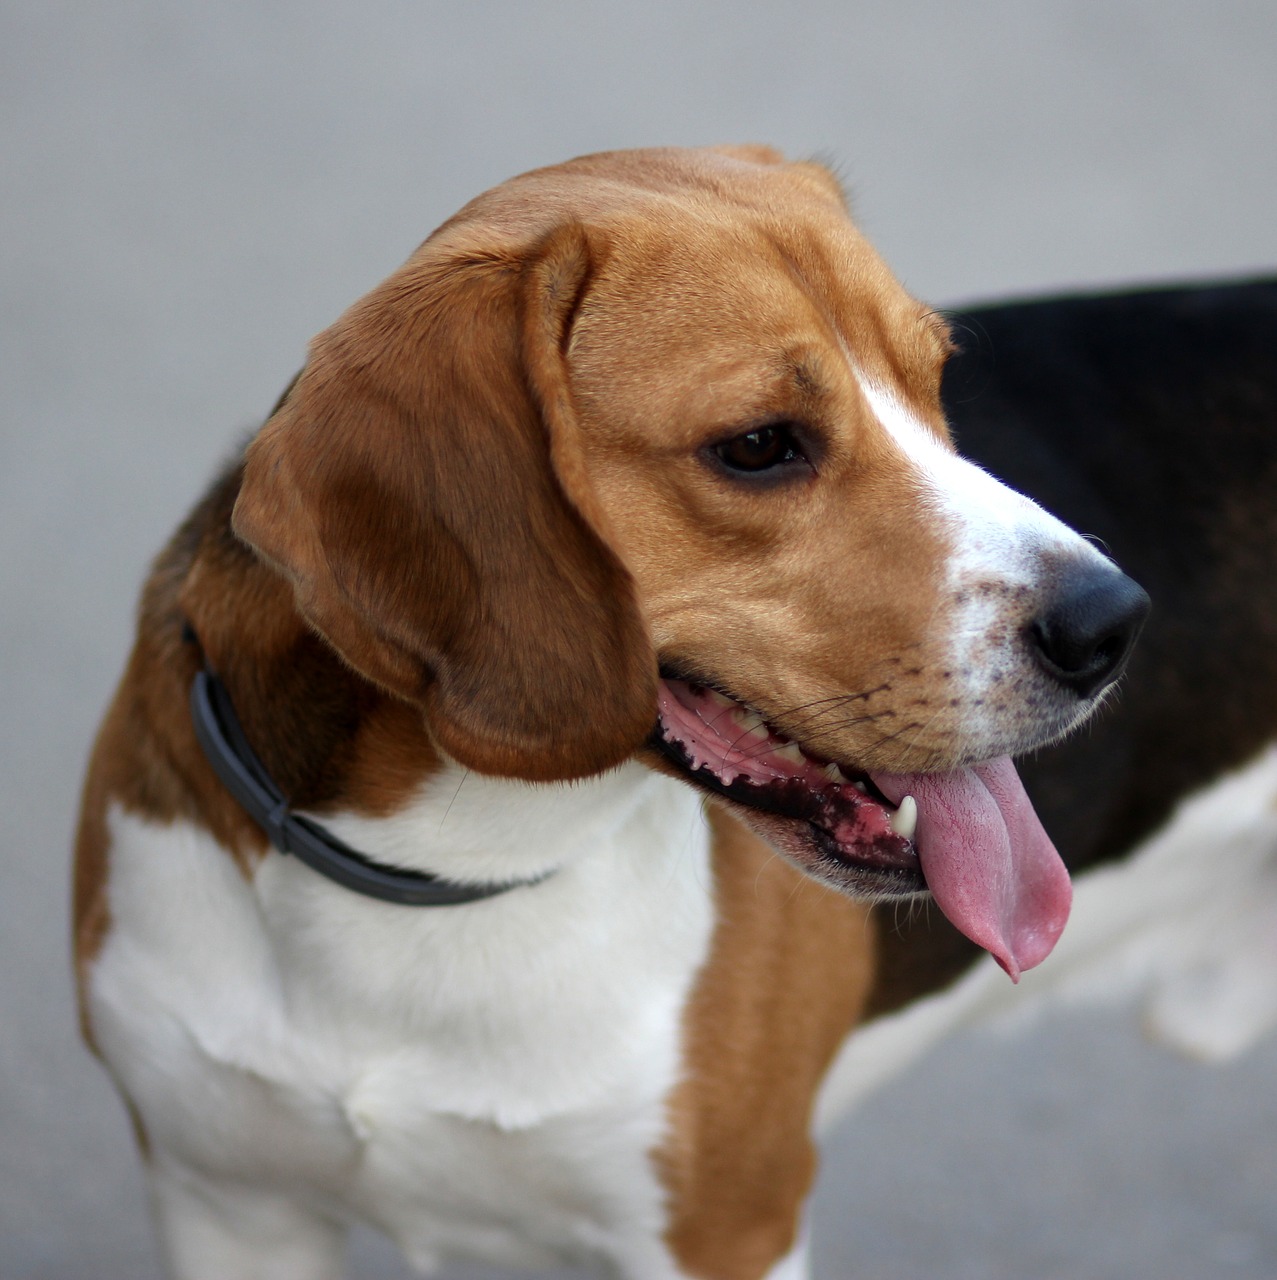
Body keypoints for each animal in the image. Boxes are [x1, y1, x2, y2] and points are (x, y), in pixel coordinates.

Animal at [70, 149, 1156, 1280]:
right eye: (758, 444)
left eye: (933, 381)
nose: (1114, 623)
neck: (439, 872)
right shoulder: (227, 1206)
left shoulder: (724, 1236)